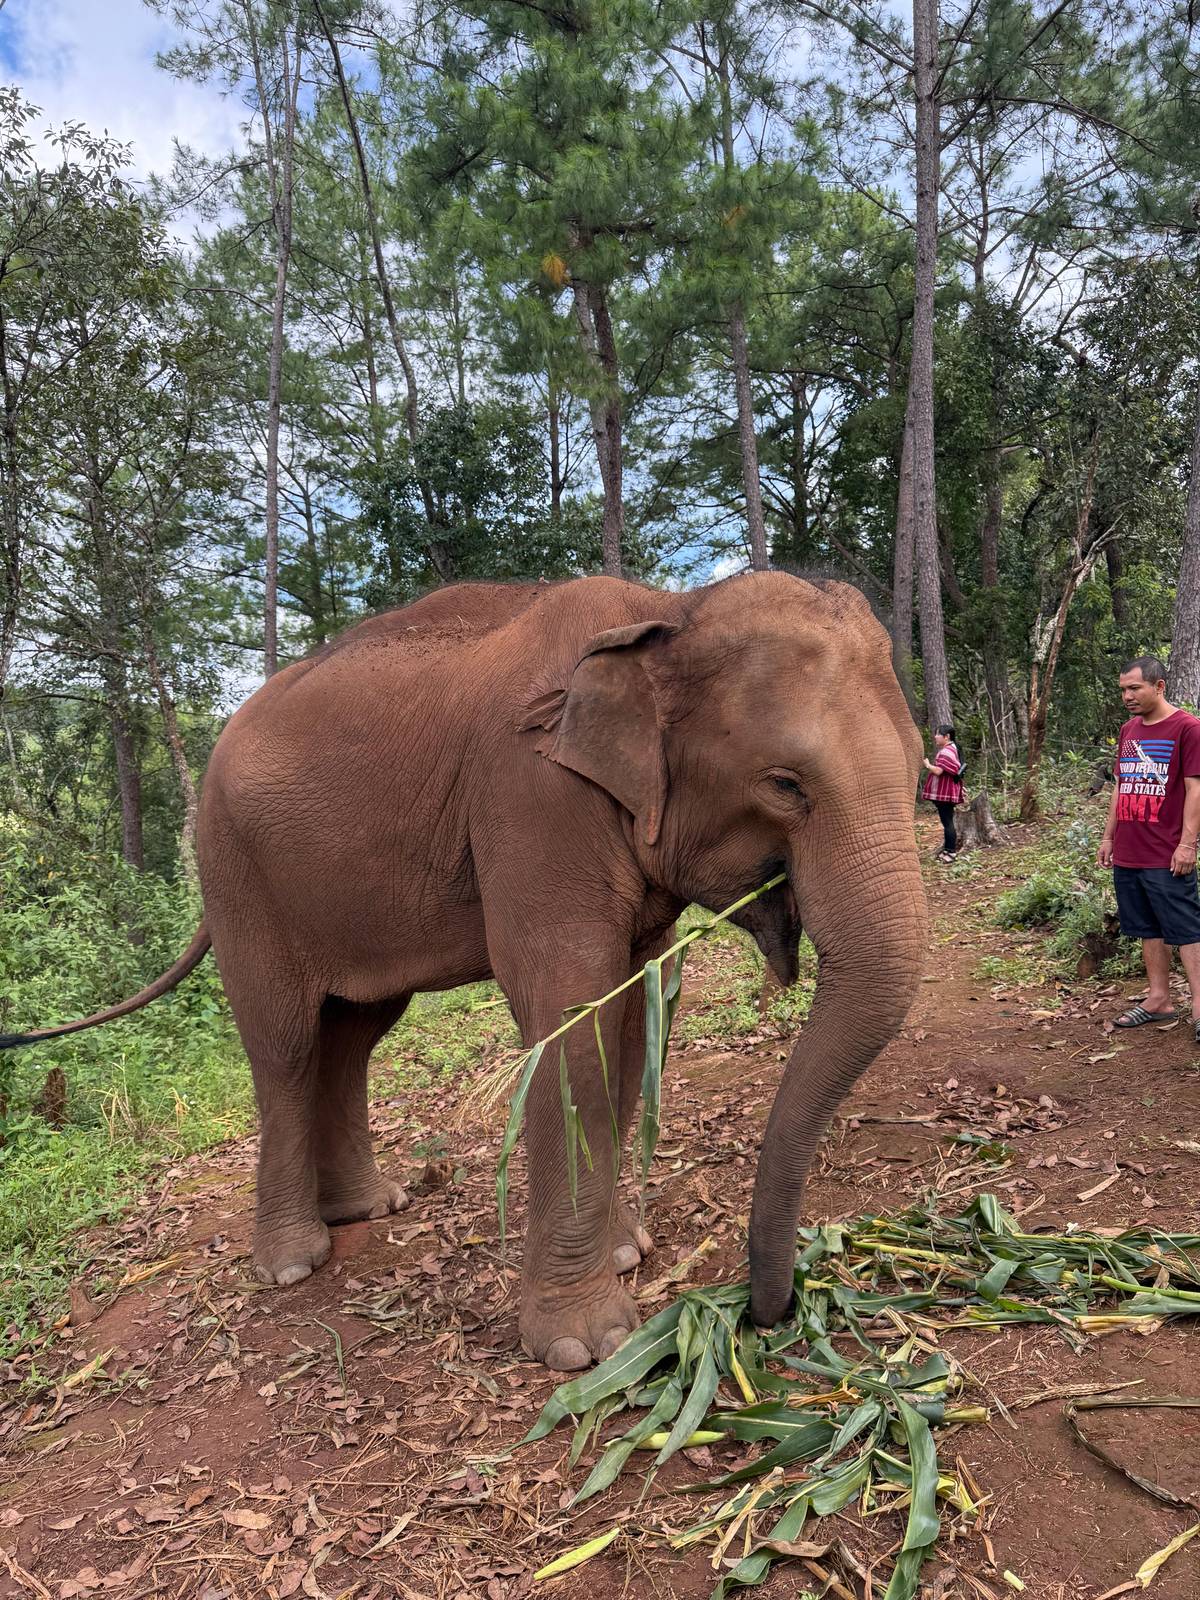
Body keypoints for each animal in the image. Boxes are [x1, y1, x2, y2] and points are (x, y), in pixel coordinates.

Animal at [1, 572, 928, 1370]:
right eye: (784, 785)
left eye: (926, 767)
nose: (767, 1312)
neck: (666, 609)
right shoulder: (528, 797)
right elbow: (568, 1010)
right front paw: (589, 1347)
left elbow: (628, 1015)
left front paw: (628, 1253)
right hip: (237, 877)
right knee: (286, 1044)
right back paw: (294, 1263)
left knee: (354, 1032)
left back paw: (370, 1210)